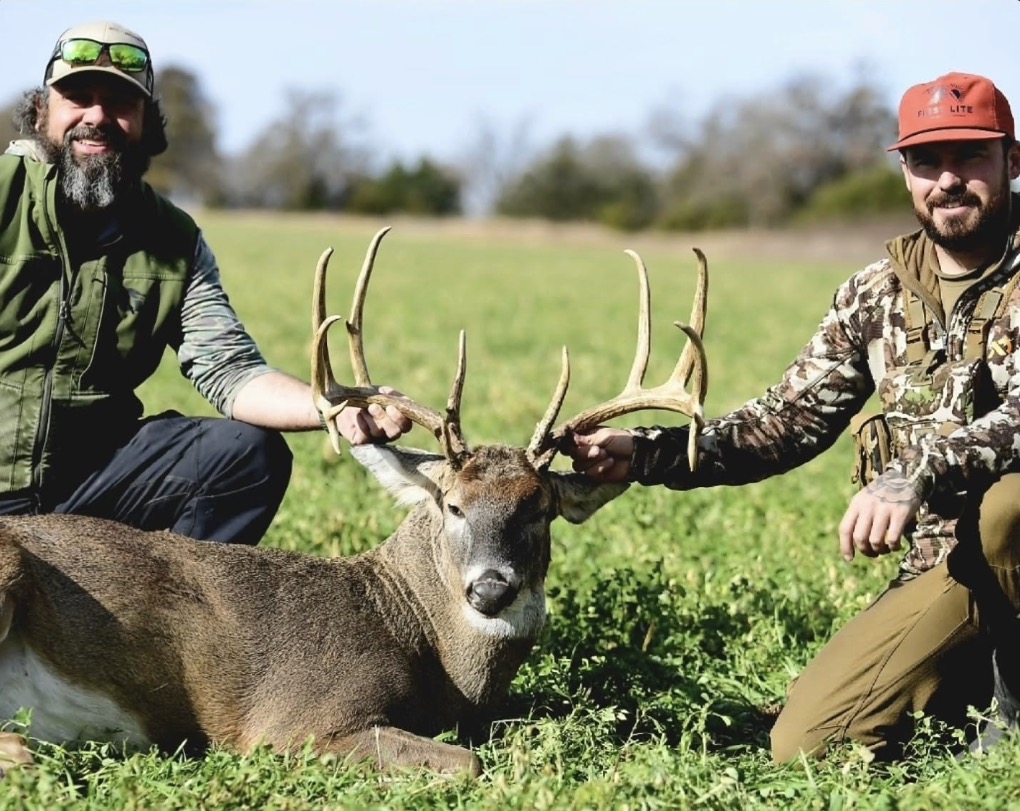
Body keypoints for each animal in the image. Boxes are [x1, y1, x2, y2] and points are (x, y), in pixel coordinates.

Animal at [0, 227, 709, 778]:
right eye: (452, 506)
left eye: (537, 507)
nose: (490, 588)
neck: (423, 644)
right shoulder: (293, 721)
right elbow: (468, 761)